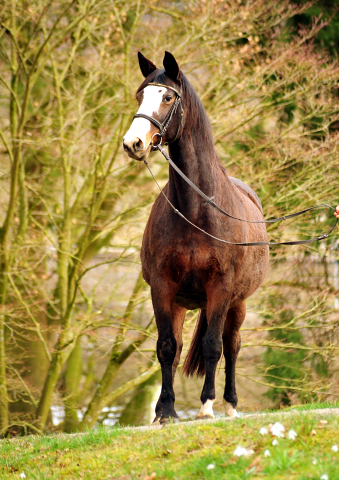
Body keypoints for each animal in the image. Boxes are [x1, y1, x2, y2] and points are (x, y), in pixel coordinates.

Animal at [123, 49, 270, 424]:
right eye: (140, 95)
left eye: (168, 97)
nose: (133, 143)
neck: (197, 210)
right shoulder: (163, 288)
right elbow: (166, 348)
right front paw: (166, 411)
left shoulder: (220, 288)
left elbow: (213, 347)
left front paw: (206, 406)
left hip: (237, 303)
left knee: (231, 346)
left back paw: (229, 404)